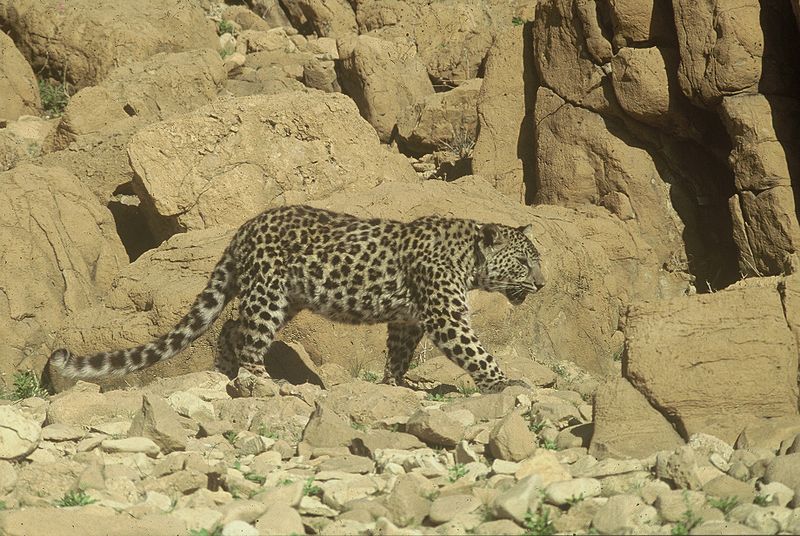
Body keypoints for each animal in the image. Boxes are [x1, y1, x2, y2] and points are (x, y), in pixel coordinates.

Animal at [50, 205, 548, 394]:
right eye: (525, 263)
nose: (543, 285)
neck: (468, 259)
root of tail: (244, 228)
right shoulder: (446, 315)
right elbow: (475, 351)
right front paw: (506, 383)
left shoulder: (408, 319)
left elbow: (399, 353)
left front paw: (398, 383)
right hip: (268, 294)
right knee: (248, 335)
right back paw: (260, 381)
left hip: (286, 298)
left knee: (231, 327)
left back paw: (231, 371)